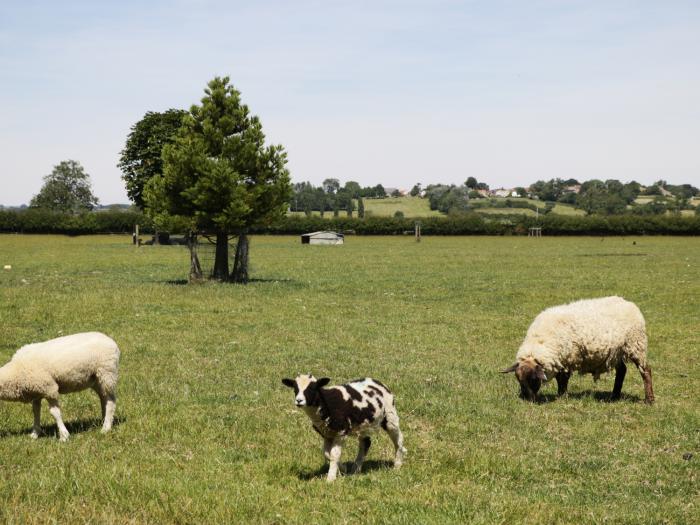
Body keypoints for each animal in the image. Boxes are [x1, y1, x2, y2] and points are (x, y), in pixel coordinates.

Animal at [500, 296, 652, 404]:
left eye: (533, 379)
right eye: (518, 379)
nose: (527, 400)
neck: (540, 342)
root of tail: (629, 304)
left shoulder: (567, 359)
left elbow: (563, 379)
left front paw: (562, 396)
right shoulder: (560, 360)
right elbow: (560, 379)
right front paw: (561, 395)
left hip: (636, 345)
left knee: (646, 371)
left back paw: (649, 400)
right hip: (616, 352)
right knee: (622, 371)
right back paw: (614, 396)